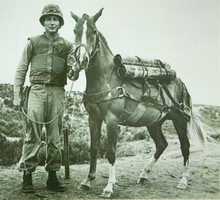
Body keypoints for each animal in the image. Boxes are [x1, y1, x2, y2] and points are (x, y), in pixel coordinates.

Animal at [70, 8, 206, 198]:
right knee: (162, 145)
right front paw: (87, 181)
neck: (107, 78)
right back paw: (144, 174)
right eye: (75, 30)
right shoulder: (93, 118)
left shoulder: (112, 120)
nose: (81, 60)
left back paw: (183, 181)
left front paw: (109, 186)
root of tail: (180, 82)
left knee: (185, 147)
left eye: (94, 31)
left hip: (179, 120)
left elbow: (111, 152)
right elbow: (93, 148)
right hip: (154, 123)